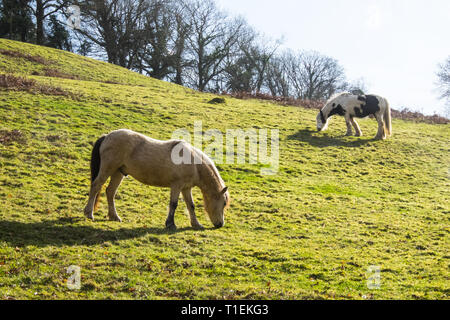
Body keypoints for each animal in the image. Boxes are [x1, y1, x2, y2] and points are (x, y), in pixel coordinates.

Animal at [83, 129, 229, 230]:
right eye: (223, 203)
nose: (220, 224)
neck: (193, 162)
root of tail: (107, 136)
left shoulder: (186, 188)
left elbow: (191, 205)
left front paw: (196, 224)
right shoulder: (176, 186)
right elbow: (174, 204)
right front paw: (170, 224)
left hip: (118, 172)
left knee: (110, 192)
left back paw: (114, 216)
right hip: (108, 169)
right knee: (96, 186)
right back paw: (89, 214)